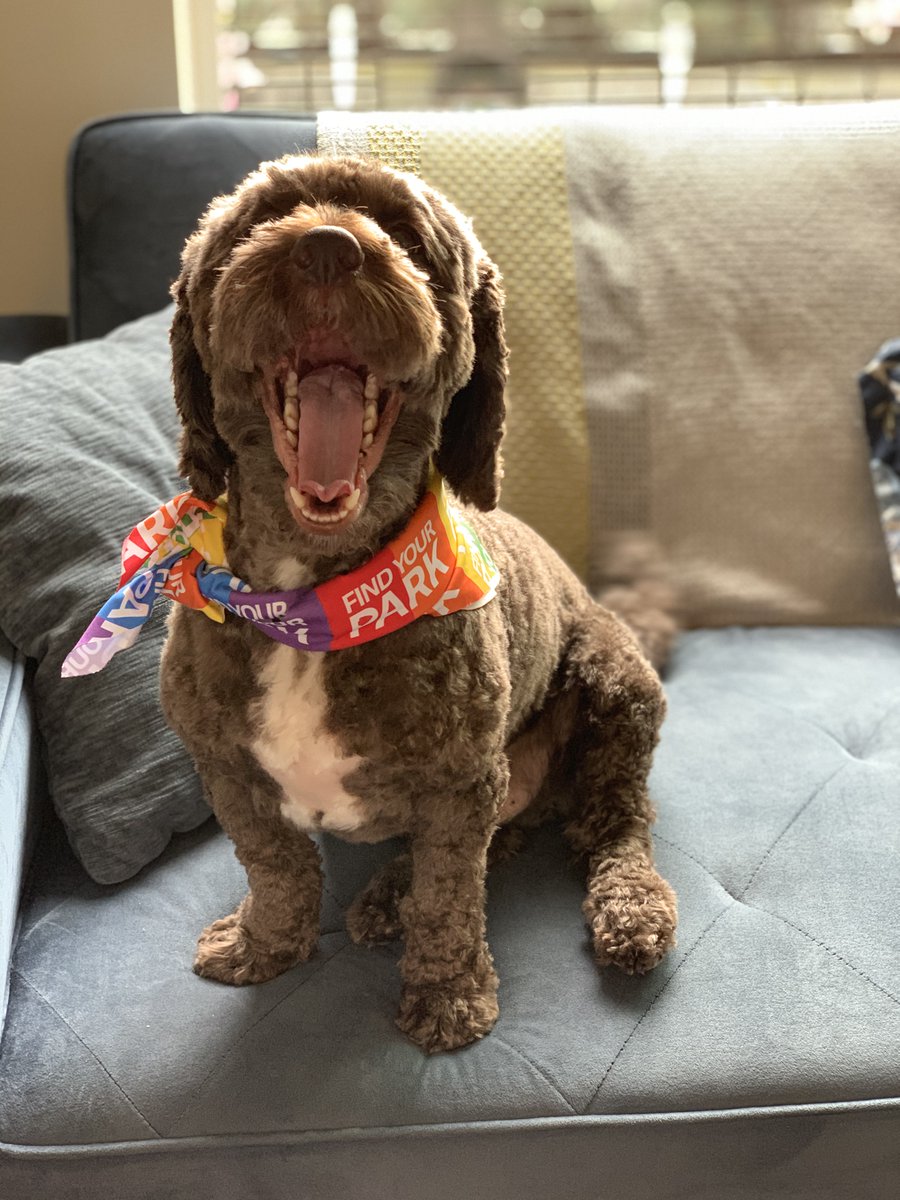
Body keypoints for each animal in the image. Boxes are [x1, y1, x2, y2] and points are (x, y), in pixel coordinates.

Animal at [162, 154, 681, 1056]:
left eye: (406, 235)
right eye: (259, 222)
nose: (326, 248)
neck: (316, 597)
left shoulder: (458, 780)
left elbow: (450, 899)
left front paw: (447, 997)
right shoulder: (226, 767)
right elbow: (276, 866)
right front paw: (265, 946)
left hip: (616, 689)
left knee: (614, 822)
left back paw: (629, 909)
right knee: (510, 832)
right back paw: (382, 898)